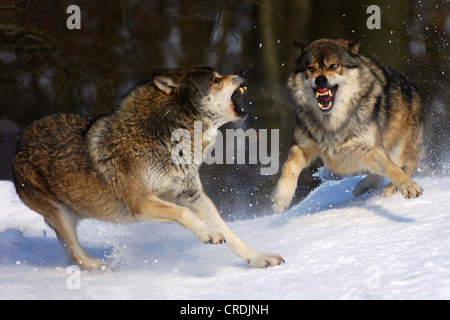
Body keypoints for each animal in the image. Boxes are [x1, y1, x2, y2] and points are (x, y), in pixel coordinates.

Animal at [14, 67, 284, 270]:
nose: (242, 71)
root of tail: (18, 144)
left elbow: (230, 232)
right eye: (216, 79)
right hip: (62, 216)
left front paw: (259, 258)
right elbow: (184, 214)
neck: (170, 138)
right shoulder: (141, 203)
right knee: (76, 255)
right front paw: (207, 234)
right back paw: (107, 268)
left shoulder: (193, 195)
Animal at [272, 38, 424, 212]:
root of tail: (412, 85)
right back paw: (365, 186)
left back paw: (389, 189)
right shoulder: (301, 146)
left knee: (407, 164)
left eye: (333, 66)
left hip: (400, 149)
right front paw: (281, 199)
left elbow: (392, 168)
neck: (332, 124)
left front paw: (408, 186)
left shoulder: (369, 148)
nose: (320, 80)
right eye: (311, 69)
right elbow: (289, 166)